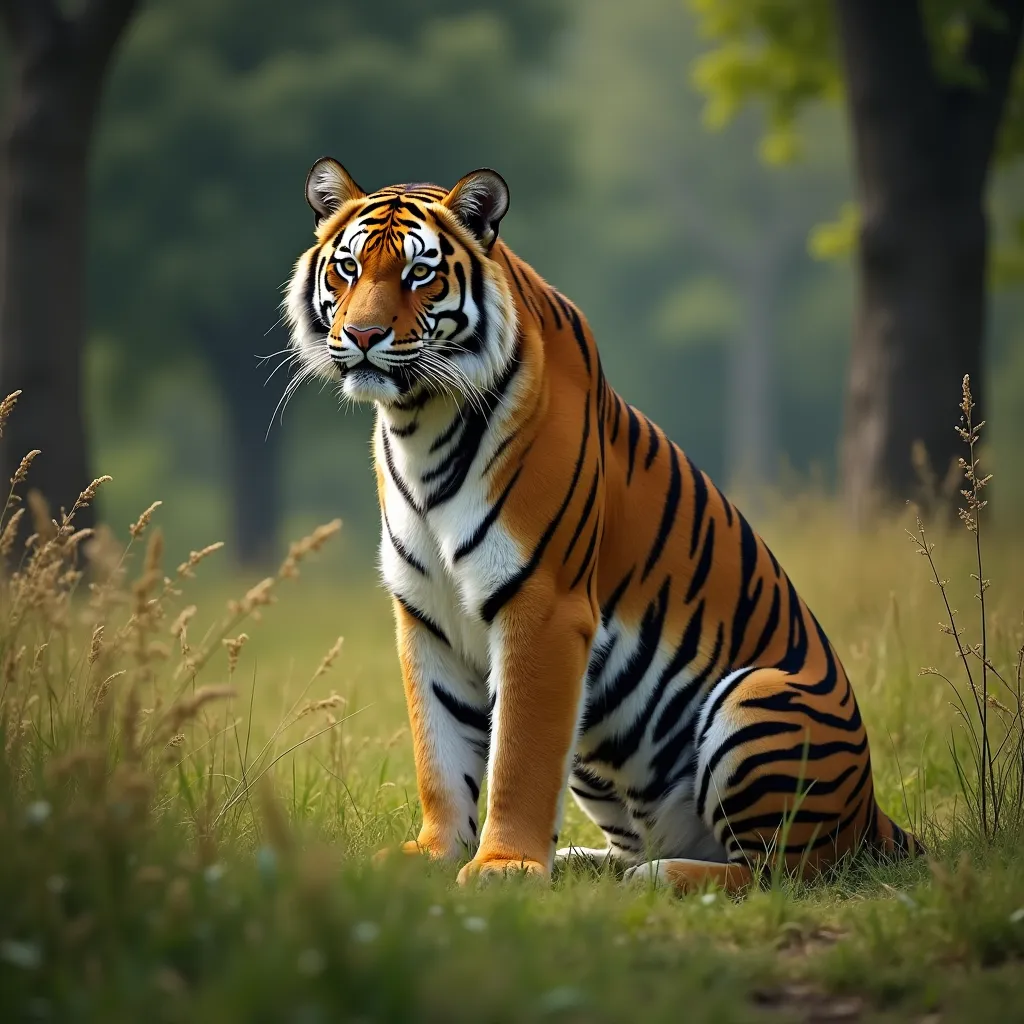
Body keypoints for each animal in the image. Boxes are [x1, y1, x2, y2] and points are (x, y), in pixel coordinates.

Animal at [284, 157, 921, 892]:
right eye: (348, 268)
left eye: (419, 273)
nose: (362, 337)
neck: (419, 422)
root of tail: (873, 811)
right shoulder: (424, 613)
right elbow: (437, 750)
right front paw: (434, 855)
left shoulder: (542, 604)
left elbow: (520, 756)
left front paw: (502, 865)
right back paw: (588, 865)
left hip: (756, 697)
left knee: (780, 869)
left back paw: (659, 877)